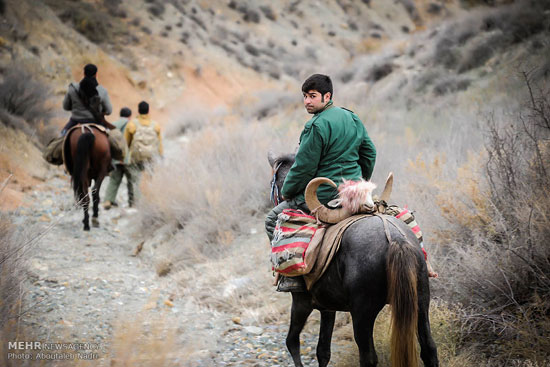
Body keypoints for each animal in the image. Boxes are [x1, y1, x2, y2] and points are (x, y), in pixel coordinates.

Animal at [268, 155, 440, 367]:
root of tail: (395, 240)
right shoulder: (327, 307)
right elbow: (323, 351)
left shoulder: (301, 302)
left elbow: (292, 341)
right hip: (421, 301)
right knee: (429, 349)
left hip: (362, 312)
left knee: (368, 357)